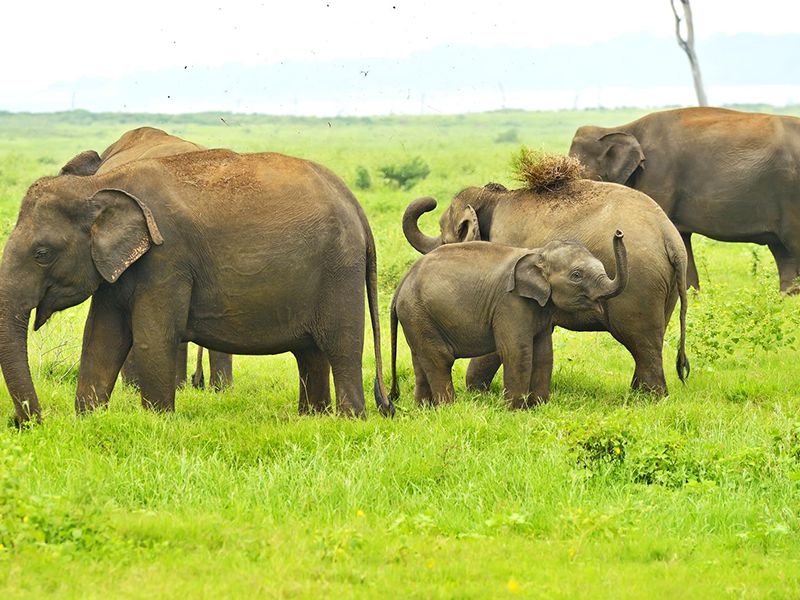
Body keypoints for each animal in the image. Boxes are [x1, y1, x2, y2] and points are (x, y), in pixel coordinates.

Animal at [390, 232, 628, 410]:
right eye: (576, 275)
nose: (618, 233)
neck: (538, 252)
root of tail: (402, 283)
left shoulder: (541, 308)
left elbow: (544, 354)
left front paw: (539, 407)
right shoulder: (510, 303)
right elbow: (517, 351)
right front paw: (515, 411)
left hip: (417, 317)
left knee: (421, 359)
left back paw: (424, 409)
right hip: (418, 312)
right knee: (440, 358)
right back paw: (449, 409)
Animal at [404, 180, 692, 396]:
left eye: (444, 235)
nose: (430, 201)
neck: (495, 198)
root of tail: (668, 235)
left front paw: (477, 393)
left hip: (639, 286)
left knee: (640, 342)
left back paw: (648, 399)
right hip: (664, 287)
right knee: (650, 340)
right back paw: (638, 394)